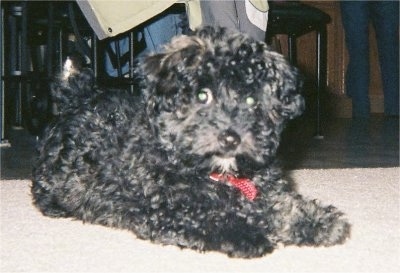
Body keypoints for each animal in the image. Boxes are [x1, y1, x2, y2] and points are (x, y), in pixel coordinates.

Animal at [32, 27, 350, 258]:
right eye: (202, 96)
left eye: (251, 100)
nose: (231, 137)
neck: (218, 173)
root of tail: (79, 97)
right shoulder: (165, 211)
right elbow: (210, 218)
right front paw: (246, 234)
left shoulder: (265, 189)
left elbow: (283, 205)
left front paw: (317, 221)